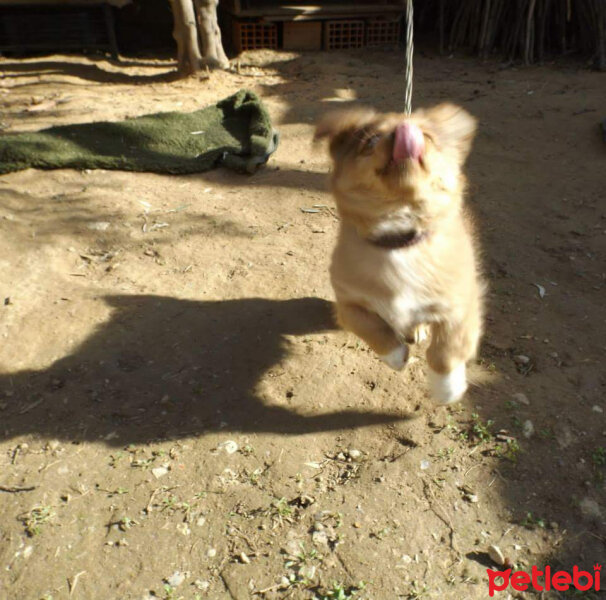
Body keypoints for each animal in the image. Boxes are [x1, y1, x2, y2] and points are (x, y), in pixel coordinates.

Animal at [318, 103, 484, 406]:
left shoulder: (461, 307)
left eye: (427, 137)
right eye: (370, 140)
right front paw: (396, 357)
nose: (404, 131)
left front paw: (447, 390)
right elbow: (370, 327)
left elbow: (446, 352)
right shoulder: (348, 303)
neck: (399, 242)